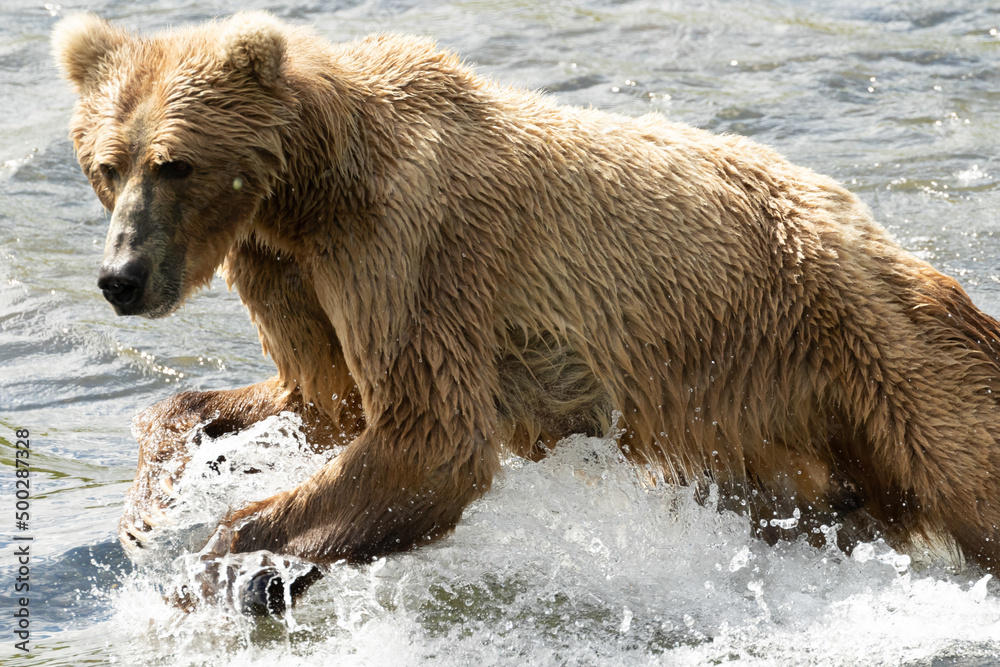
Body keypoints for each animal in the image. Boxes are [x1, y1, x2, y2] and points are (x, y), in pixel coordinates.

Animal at [54, 11, 1000, 596]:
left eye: (175, 162)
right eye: (107, 164)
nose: (121, 277)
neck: (312, 190)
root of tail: (868, 225)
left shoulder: (413, 249)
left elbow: (429, 435)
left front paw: (228, 558)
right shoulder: (292, 269)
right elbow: (322, 398)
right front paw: (148, 514)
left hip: (873, 345)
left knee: (968, 463)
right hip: (767, 421)